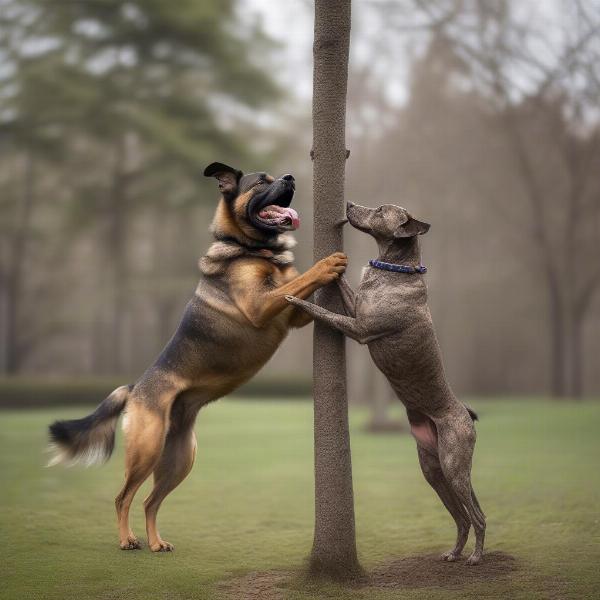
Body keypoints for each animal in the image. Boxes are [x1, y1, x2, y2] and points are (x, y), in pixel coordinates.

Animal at [48, 163, 346, 552]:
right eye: (261, 181)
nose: (291, 178)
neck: (251, 248)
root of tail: (135, 388)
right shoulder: (261, 304)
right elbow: (302, 279)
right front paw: (329, 263)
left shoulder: (295, 313)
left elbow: (301, 287)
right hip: (147, 449)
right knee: (123, 497)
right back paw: (127, 540)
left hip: (180, 458)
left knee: (150, 501)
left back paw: (157, 543)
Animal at [284, 204, 486, 564]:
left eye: (380, 210)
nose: (349, 205)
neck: (396, 270)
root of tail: (466, 414)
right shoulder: (356, 306)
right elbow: (343, 285)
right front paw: (333, 265)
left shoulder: (359, 328)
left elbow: (323, 312)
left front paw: (295, 298)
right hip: (433, 470)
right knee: (462, 516)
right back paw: (454, 553)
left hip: (454, 467)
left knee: (476, 515)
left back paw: (476, 556)